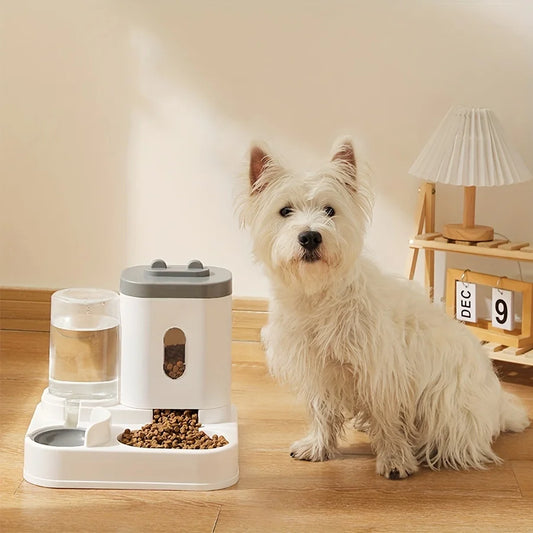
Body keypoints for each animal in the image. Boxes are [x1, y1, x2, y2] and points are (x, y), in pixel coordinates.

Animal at [239, 137, 528, 478]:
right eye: (284, 211)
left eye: (330, 210)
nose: (310, 237)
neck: (319, 296)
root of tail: (497, 408)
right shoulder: (319, 369)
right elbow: (322, 411)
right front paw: (319, 446)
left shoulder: (381, 371)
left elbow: (387, 418)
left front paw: (394, 459)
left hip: (448, 405)